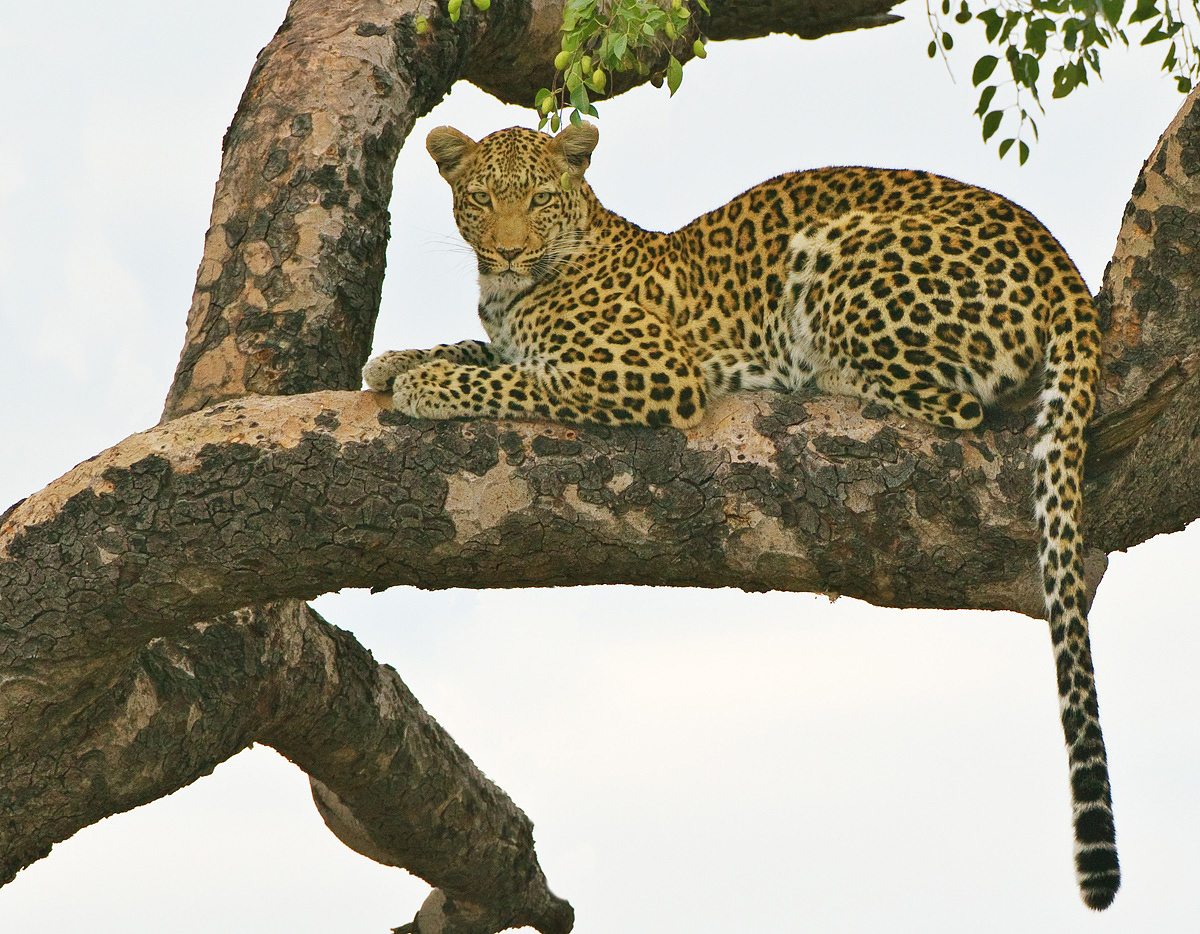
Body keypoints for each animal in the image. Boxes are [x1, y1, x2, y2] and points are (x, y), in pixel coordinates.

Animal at [363, 123, 1116, 909]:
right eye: (481, 199)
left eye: (540, 198)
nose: (509, 250)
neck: (512, 290)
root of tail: (1057, 259)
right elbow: (488, 350)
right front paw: (399, 358)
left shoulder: (653, 372)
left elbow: (519, 377)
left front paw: (424, 381)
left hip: (835, 252)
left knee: (956, 404)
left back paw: (809, 369)